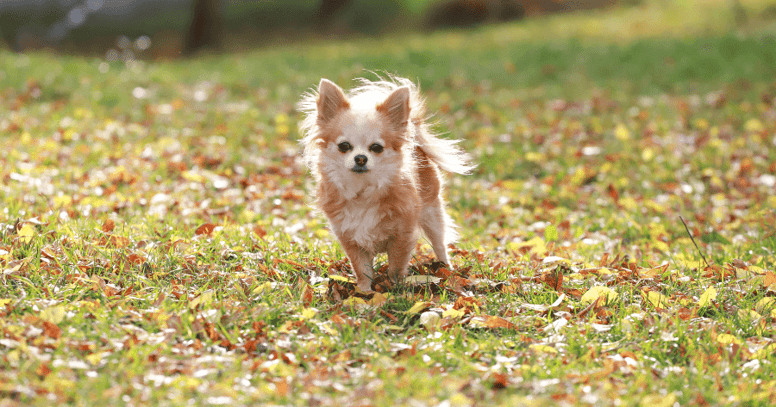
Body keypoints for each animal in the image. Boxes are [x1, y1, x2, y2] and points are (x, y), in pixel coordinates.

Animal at [300, 77, 476, 294]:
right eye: (344, 146)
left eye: (376, 147)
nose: (360, 158)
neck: (363, 192)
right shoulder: (351, 239)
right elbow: (362, 269)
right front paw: (364, 293)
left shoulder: (402, 236)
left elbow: (396, 267)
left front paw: (395, 290)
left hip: (431, 212)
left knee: (440, 242)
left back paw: (446, 269)